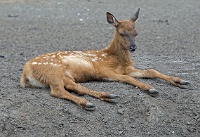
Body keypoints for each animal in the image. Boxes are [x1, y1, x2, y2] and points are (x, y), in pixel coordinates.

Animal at [19, 8, 189, 109]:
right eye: (121, 33)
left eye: (136, 33)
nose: (133, 48)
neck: (115, 59)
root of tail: (25, 71)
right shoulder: (102, 70)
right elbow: (128, 79)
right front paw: (150, 88)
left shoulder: (128, 68)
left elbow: (152, 70)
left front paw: (181, 81)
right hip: (52, 70)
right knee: (57, 91)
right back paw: (87, 103)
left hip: (63, 75)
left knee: (74, 86)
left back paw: (107, 97)